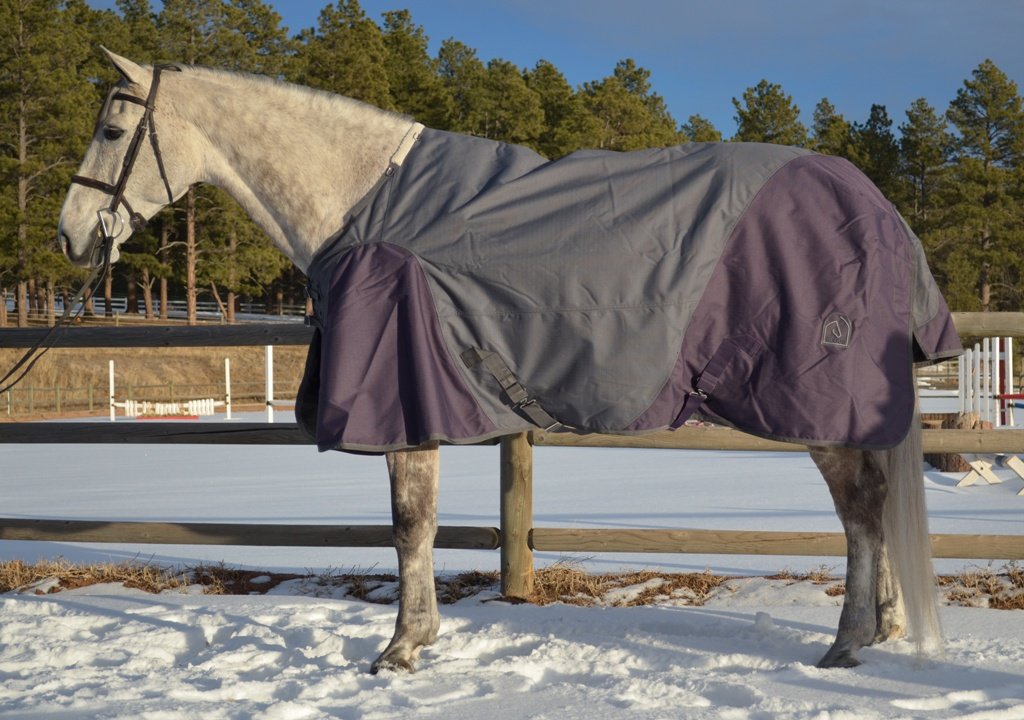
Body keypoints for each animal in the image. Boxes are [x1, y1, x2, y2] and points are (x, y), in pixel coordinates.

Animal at [58, 50, 956, 673]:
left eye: (112, 130)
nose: (70, 236)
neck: (366, 205)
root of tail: (876, 206)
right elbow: (416, 525)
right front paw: (415, 640)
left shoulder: (403, 401)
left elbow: (409, 525)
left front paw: (402, 648)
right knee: (871, 506)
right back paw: (880, 626)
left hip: (820, 404)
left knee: (861, 512)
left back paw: (847, 642)